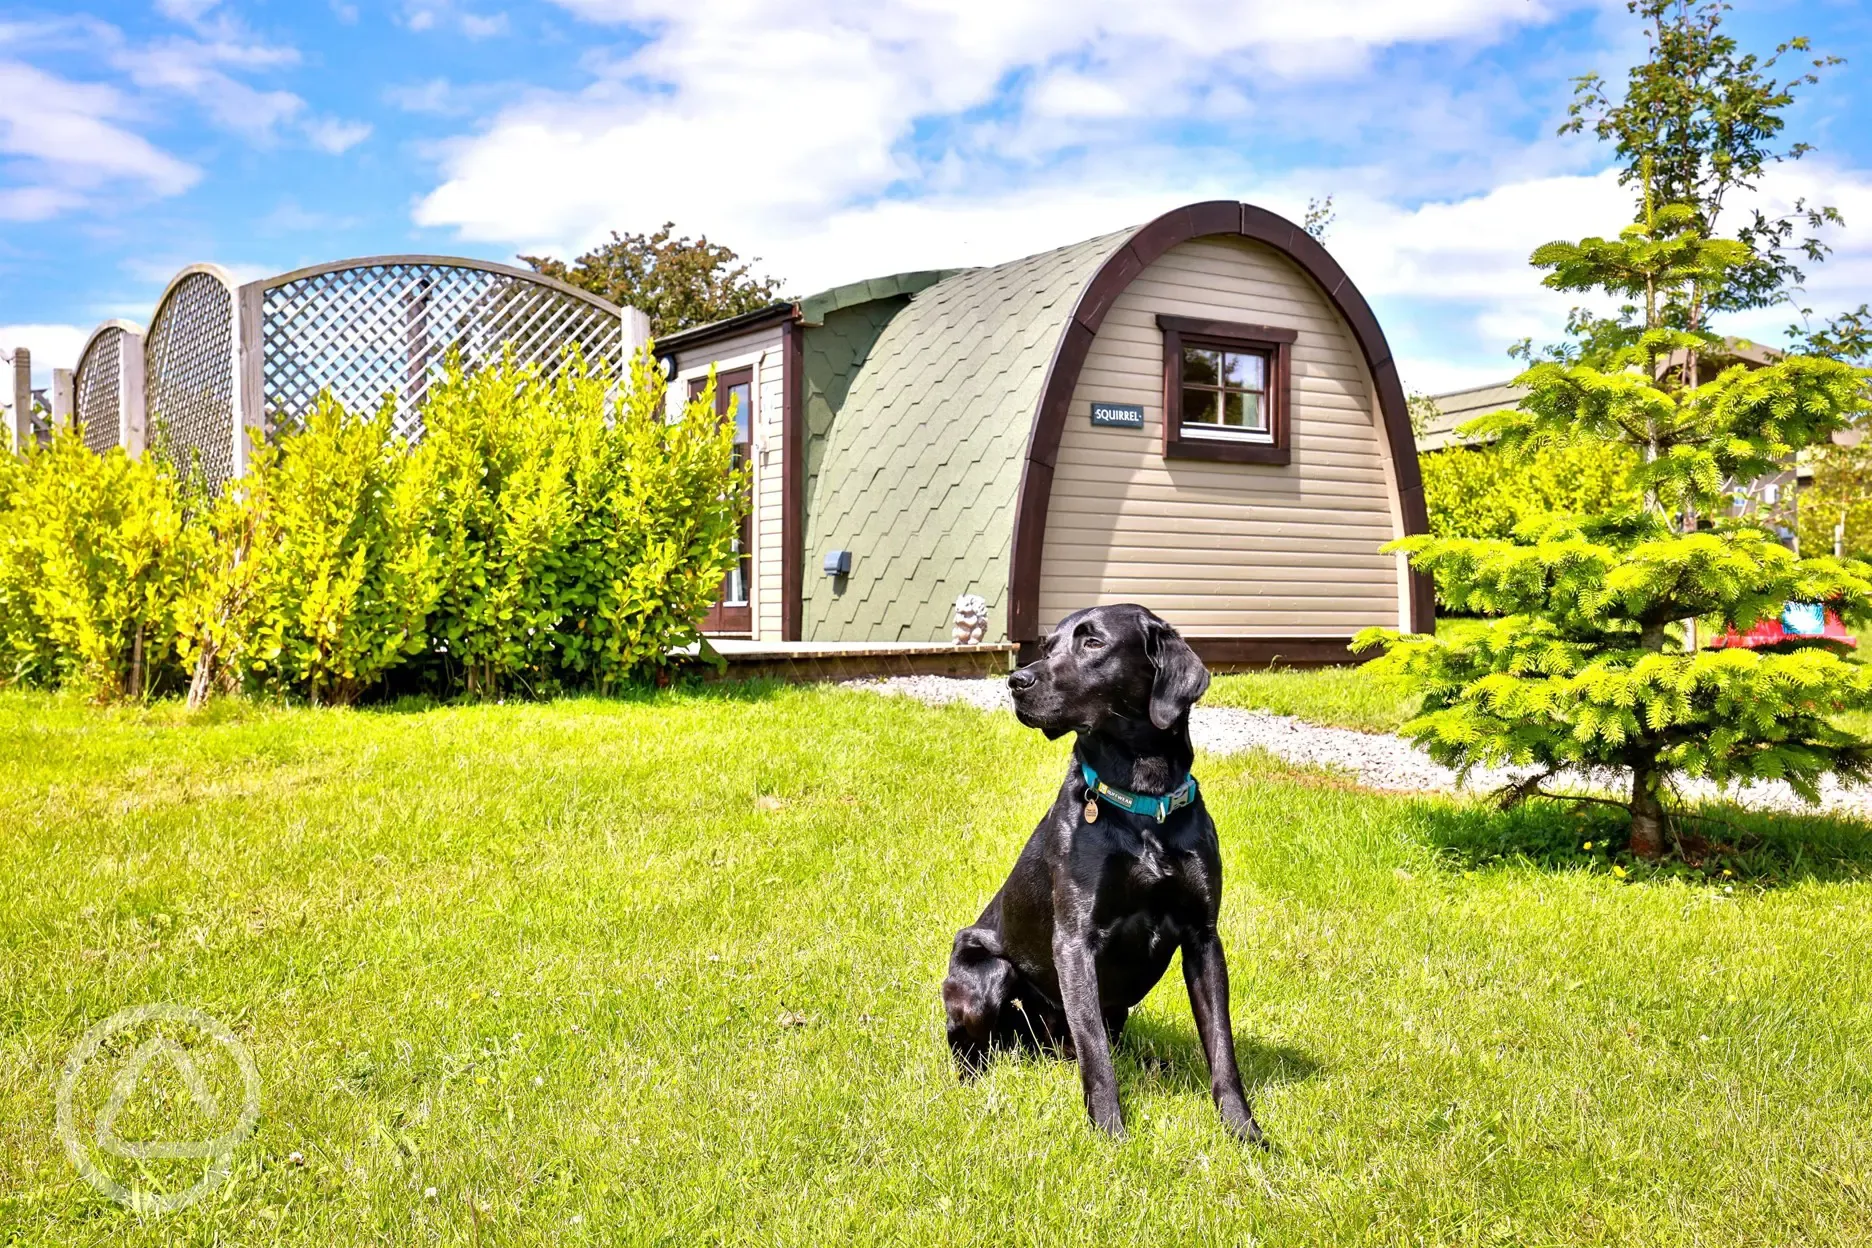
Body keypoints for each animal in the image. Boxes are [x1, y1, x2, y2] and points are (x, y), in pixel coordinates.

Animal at [943, 602, 1265, 1145]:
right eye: (1047, 645)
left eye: (1093, 643)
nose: (1016, 680)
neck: (1142, 800)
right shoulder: (1076, 940)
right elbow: (1095, 1053)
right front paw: (1111, 1133)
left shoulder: (1203, 938)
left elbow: (1221, 1045)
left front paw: (1243, 1130)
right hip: (984, 976)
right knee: (973, 1048)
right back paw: (974, 1087)